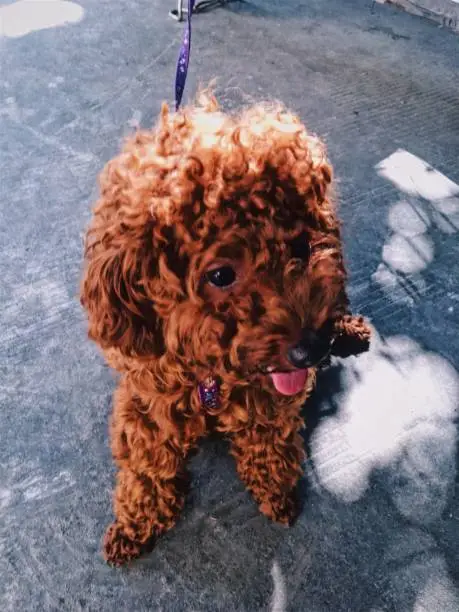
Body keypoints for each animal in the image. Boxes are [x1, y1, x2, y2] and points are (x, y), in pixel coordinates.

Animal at [81, 93, 372, 568]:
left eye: (301, 246)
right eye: (220, 275)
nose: (309, 349)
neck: (210, 372)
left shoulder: (269, 396)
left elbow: (268, 442)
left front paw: (275, 490)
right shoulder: (146, 404)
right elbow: (146, 465)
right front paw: (135, 525)